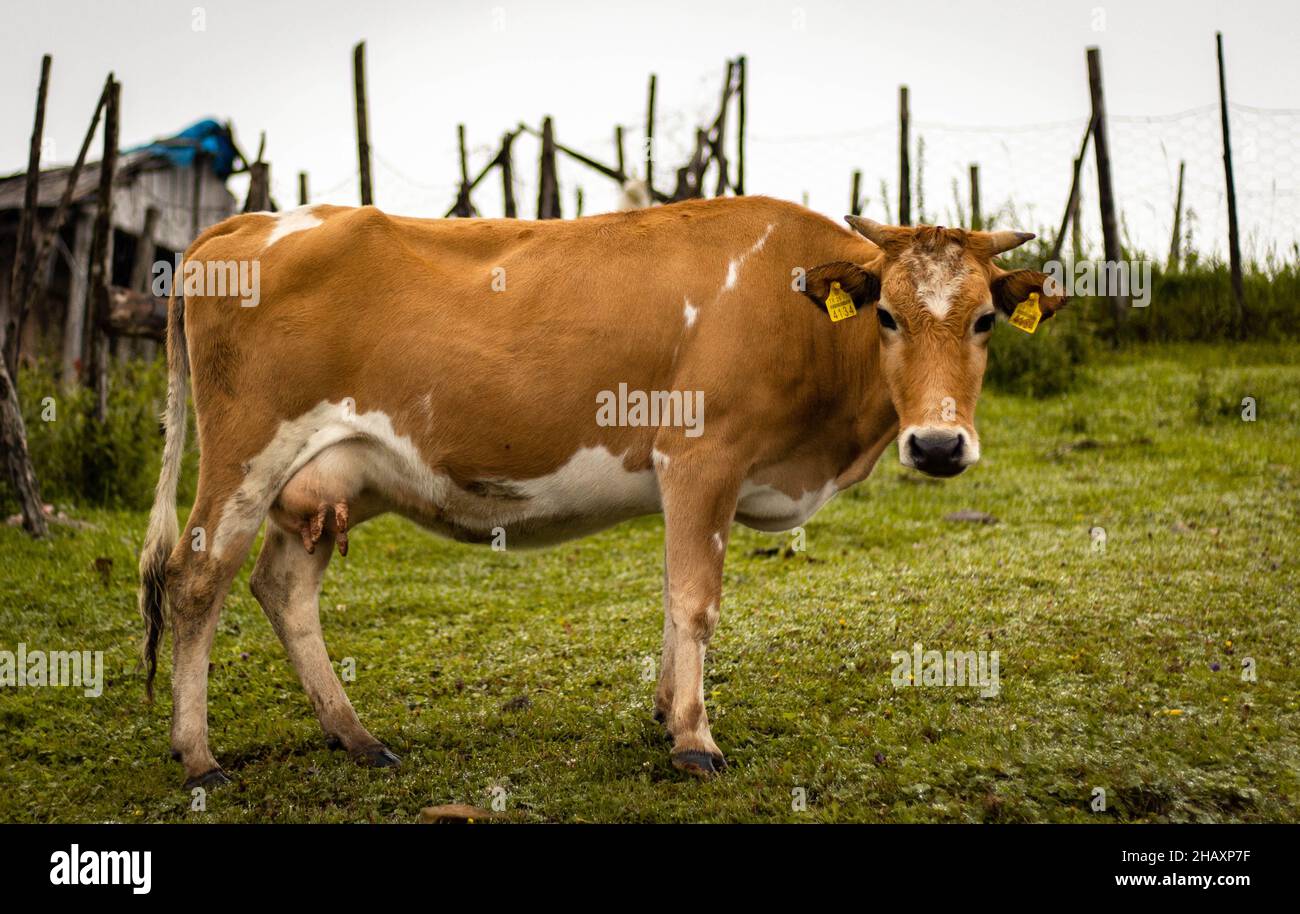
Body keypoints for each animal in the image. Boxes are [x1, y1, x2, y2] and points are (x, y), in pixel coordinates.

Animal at [137, 195, 1060, 785]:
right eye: (887, 317)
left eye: (984, 319)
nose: (937, 443)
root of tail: (250, 221)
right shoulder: (701, 455)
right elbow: (695, 600)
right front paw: (693, 739)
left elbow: (671, 596)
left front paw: (664, 710)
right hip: (245, 455)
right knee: (197, 582)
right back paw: (199, 758)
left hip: (324, 478)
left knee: (282, 587)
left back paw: (356, 737)